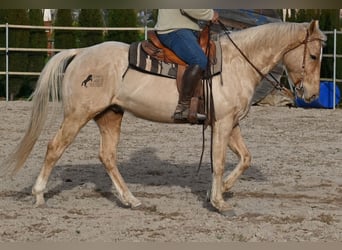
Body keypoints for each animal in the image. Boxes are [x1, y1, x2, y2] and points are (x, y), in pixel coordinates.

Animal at [0, 20, 326, 214]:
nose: (311, 95)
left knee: (107, 156)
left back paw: (130, 199)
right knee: (55, 148)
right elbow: (220, 162)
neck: (236, 63)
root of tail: (80, 53)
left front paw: (222, 190)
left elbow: (245, 158)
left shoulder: (230, 123)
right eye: (312, 56)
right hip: (78, 114)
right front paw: (219, 201)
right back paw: (39, 195)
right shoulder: (222, 124)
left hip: (110, 115)